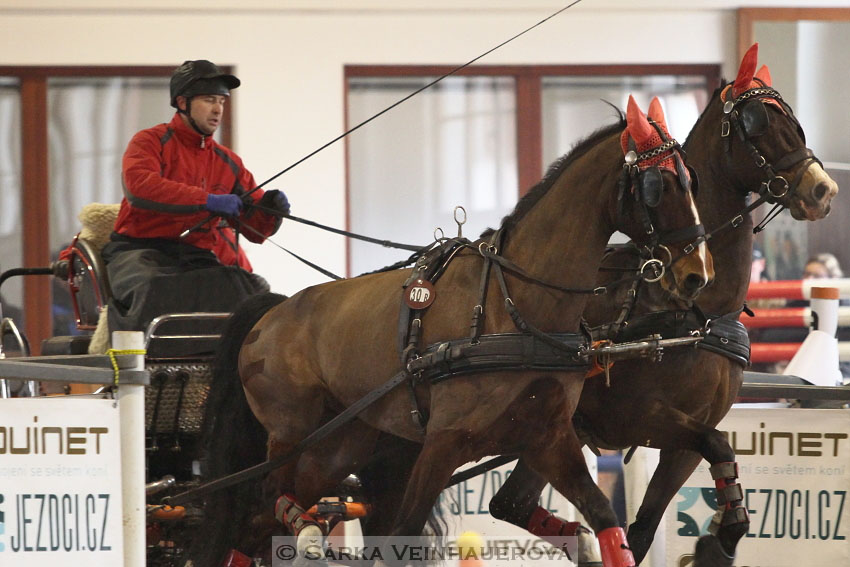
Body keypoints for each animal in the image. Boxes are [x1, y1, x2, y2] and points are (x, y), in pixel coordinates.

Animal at [192, 96, 708, 567]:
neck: (512, 306)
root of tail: (272, 314)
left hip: (337, 447)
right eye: (657, 186)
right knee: (267, 505)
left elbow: (604, 517)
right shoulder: (443, 441)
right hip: (291, 437)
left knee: (257, 525)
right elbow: (401, 535)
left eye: (691, 180)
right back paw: (305, 529)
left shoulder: (550, 437)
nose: (696, 274)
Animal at [484, 43, 836, 567]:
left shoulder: (686, 438)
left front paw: (716, 541)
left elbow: (655, 519)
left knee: (508, 503)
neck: (693, 311)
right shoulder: (638, 418)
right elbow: (713, 451)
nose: (822, 190)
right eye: (757, 124)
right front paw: (712, 544)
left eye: (794, 121)